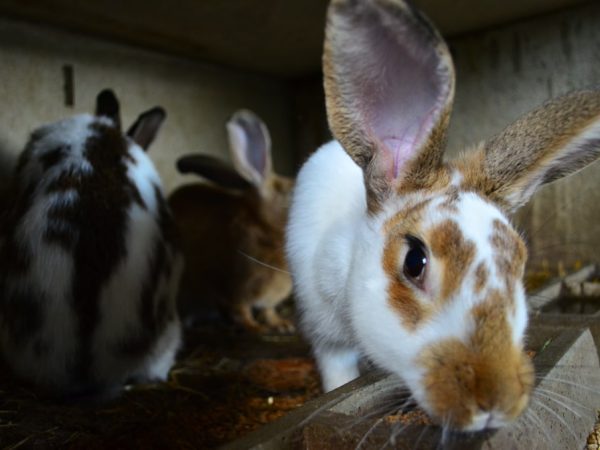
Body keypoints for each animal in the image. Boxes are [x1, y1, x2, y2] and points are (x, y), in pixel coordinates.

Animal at [168, 109, 294, 334]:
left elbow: (268, 311)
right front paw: (256, 329)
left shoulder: (268, 300)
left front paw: (281, 324)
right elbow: (241, 311)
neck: (264, 230)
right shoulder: (235, 289)